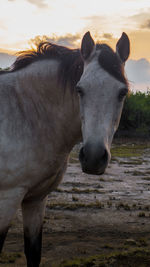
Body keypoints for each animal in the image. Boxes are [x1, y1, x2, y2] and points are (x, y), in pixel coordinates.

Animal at [0, 30, 129, 266]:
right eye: (80, 89)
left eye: (122, 92)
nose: (94, 157)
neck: (26, 111)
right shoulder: (7, 199)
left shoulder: (35, 199)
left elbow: (33, 252)